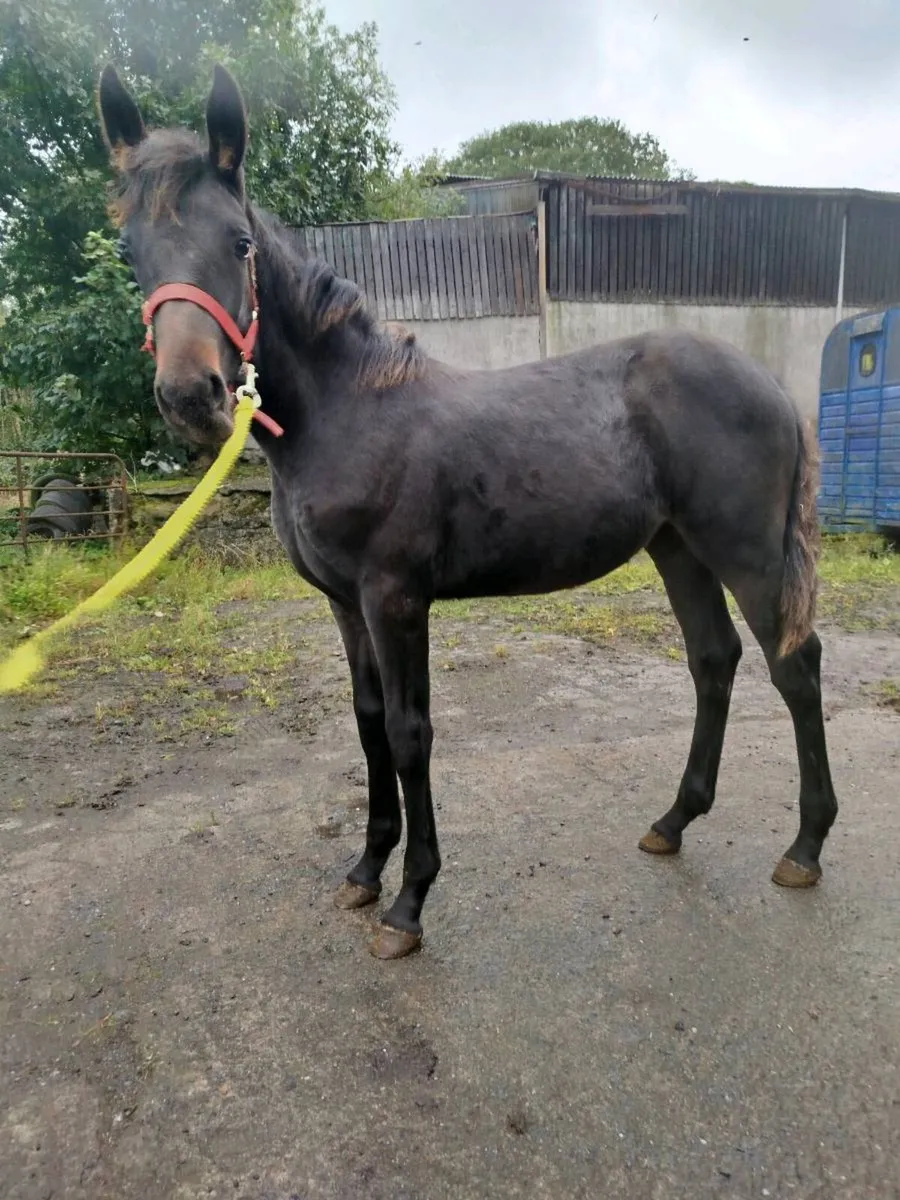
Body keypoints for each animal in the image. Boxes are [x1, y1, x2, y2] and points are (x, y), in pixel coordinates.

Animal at [96, 63, 838, 959]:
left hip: (747, 553)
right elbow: (368, 722)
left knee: (795, 665)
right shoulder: (345, 604)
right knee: (713, 660)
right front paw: (365, 870)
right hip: (678, 548)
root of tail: (771, 384)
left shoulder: (395, 598)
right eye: (130, 250)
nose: (190, 396)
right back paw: (674, 821)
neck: (348, 412)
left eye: (239, 243)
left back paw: (805, 847)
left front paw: (408, 903)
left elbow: (410, 731)